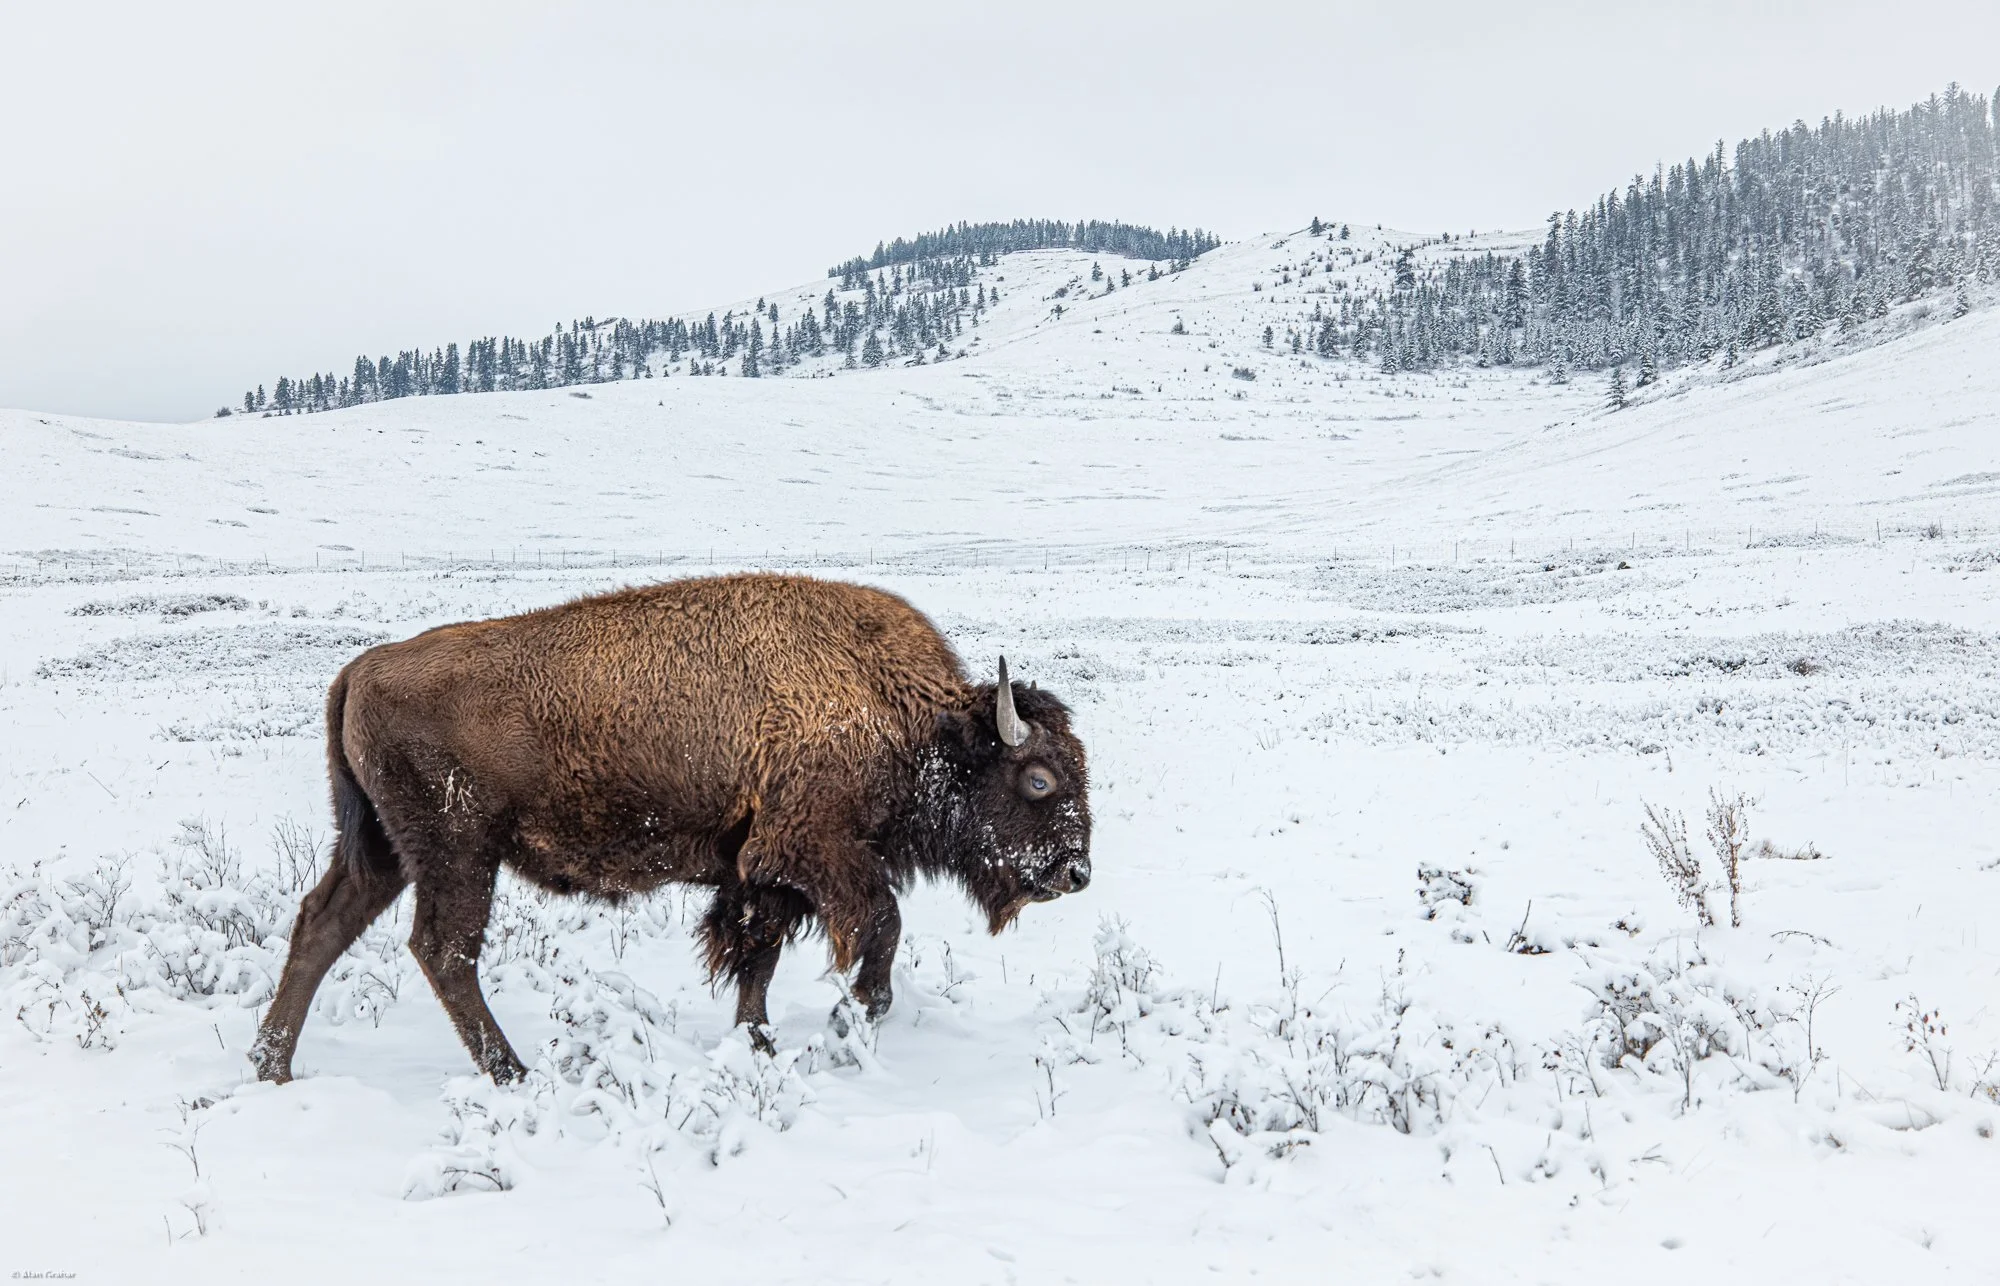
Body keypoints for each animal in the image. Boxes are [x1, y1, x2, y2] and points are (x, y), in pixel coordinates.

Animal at [249, 573, 1092, 1083]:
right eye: (1038, 778)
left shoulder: (758, 870)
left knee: (323, 926)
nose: (1076, 873)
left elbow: (756, 957)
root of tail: (360, 669)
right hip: (457, 852)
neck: (900, 711)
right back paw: (512, 1073)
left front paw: (758, 1042)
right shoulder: (812, 849)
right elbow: (880, 924)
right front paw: (854, 1015)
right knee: (443, 951)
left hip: (386, 851)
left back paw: (271, 1065)